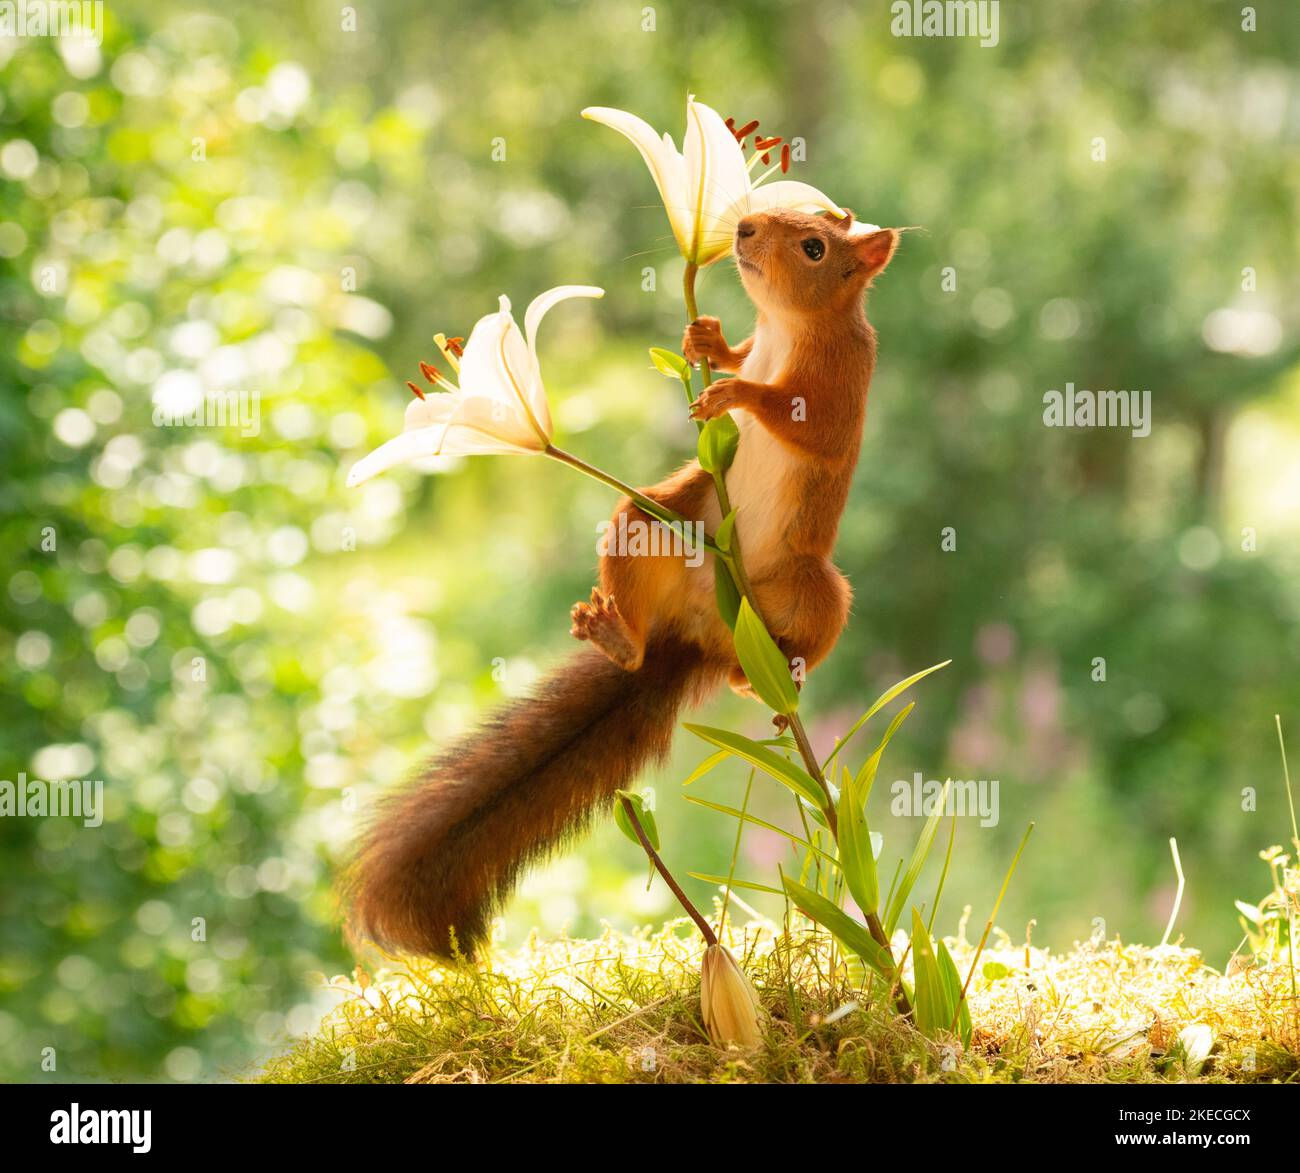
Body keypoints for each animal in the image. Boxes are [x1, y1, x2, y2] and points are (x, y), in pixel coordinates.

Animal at [348, 210, 904, 962]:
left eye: (814, 246)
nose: (745, 225)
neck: (791, 325)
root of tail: (703, 635)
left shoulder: (845, 376)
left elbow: (813, 424)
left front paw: (738, 394)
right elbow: (741, 354)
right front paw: (710, 342)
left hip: (813, 586)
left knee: (806, 636)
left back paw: (773, 680)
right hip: (658, 517)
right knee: (640, 568)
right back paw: (623, 640)